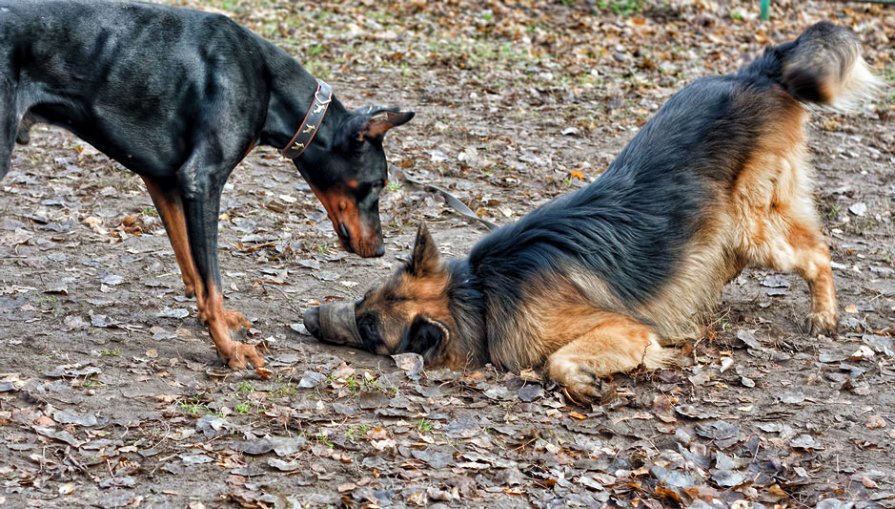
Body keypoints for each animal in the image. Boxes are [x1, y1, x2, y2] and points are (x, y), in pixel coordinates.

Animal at [0, 0, 412, 374]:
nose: (380, 250)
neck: (266, 83)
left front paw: (216, 322)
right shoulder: (203, 179)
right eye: (378, 184)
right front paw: (229, 351)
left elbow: (193, 266)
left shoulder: (165, 180)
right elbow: (212, 280)